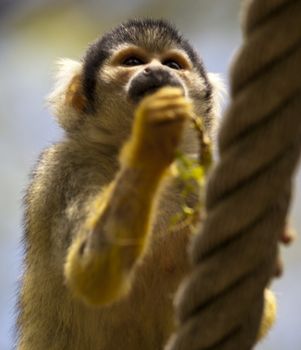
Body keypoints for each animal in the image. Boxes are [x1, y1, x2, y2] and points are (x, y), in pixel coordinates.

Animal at [17, 19, 276, 350]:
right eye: (132, 61)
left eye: (173, 64)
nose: (156, 71)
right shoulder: (65, 169)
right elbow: (91, 272)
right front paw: (151, 136)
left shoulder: (194, 179)